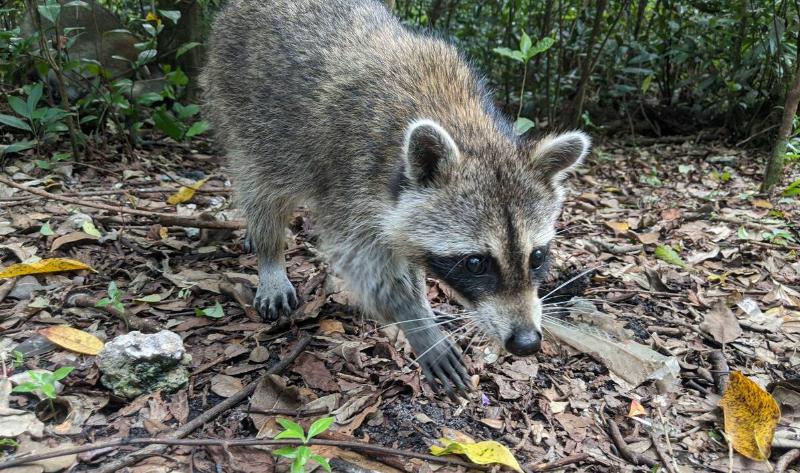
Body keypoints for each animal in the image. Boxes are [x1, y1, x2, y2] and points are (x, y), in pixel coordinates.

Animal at [202, 0, 590, 393]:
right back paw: (269, 254)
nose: (526, 342)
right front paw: (417, 320)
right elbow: (364, 262)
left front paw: (425, 307)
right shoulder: (351, 175)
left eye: (537, 257)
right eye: (475, 263)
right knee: (262, 188)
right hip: (242, 107)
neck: (464, 124)